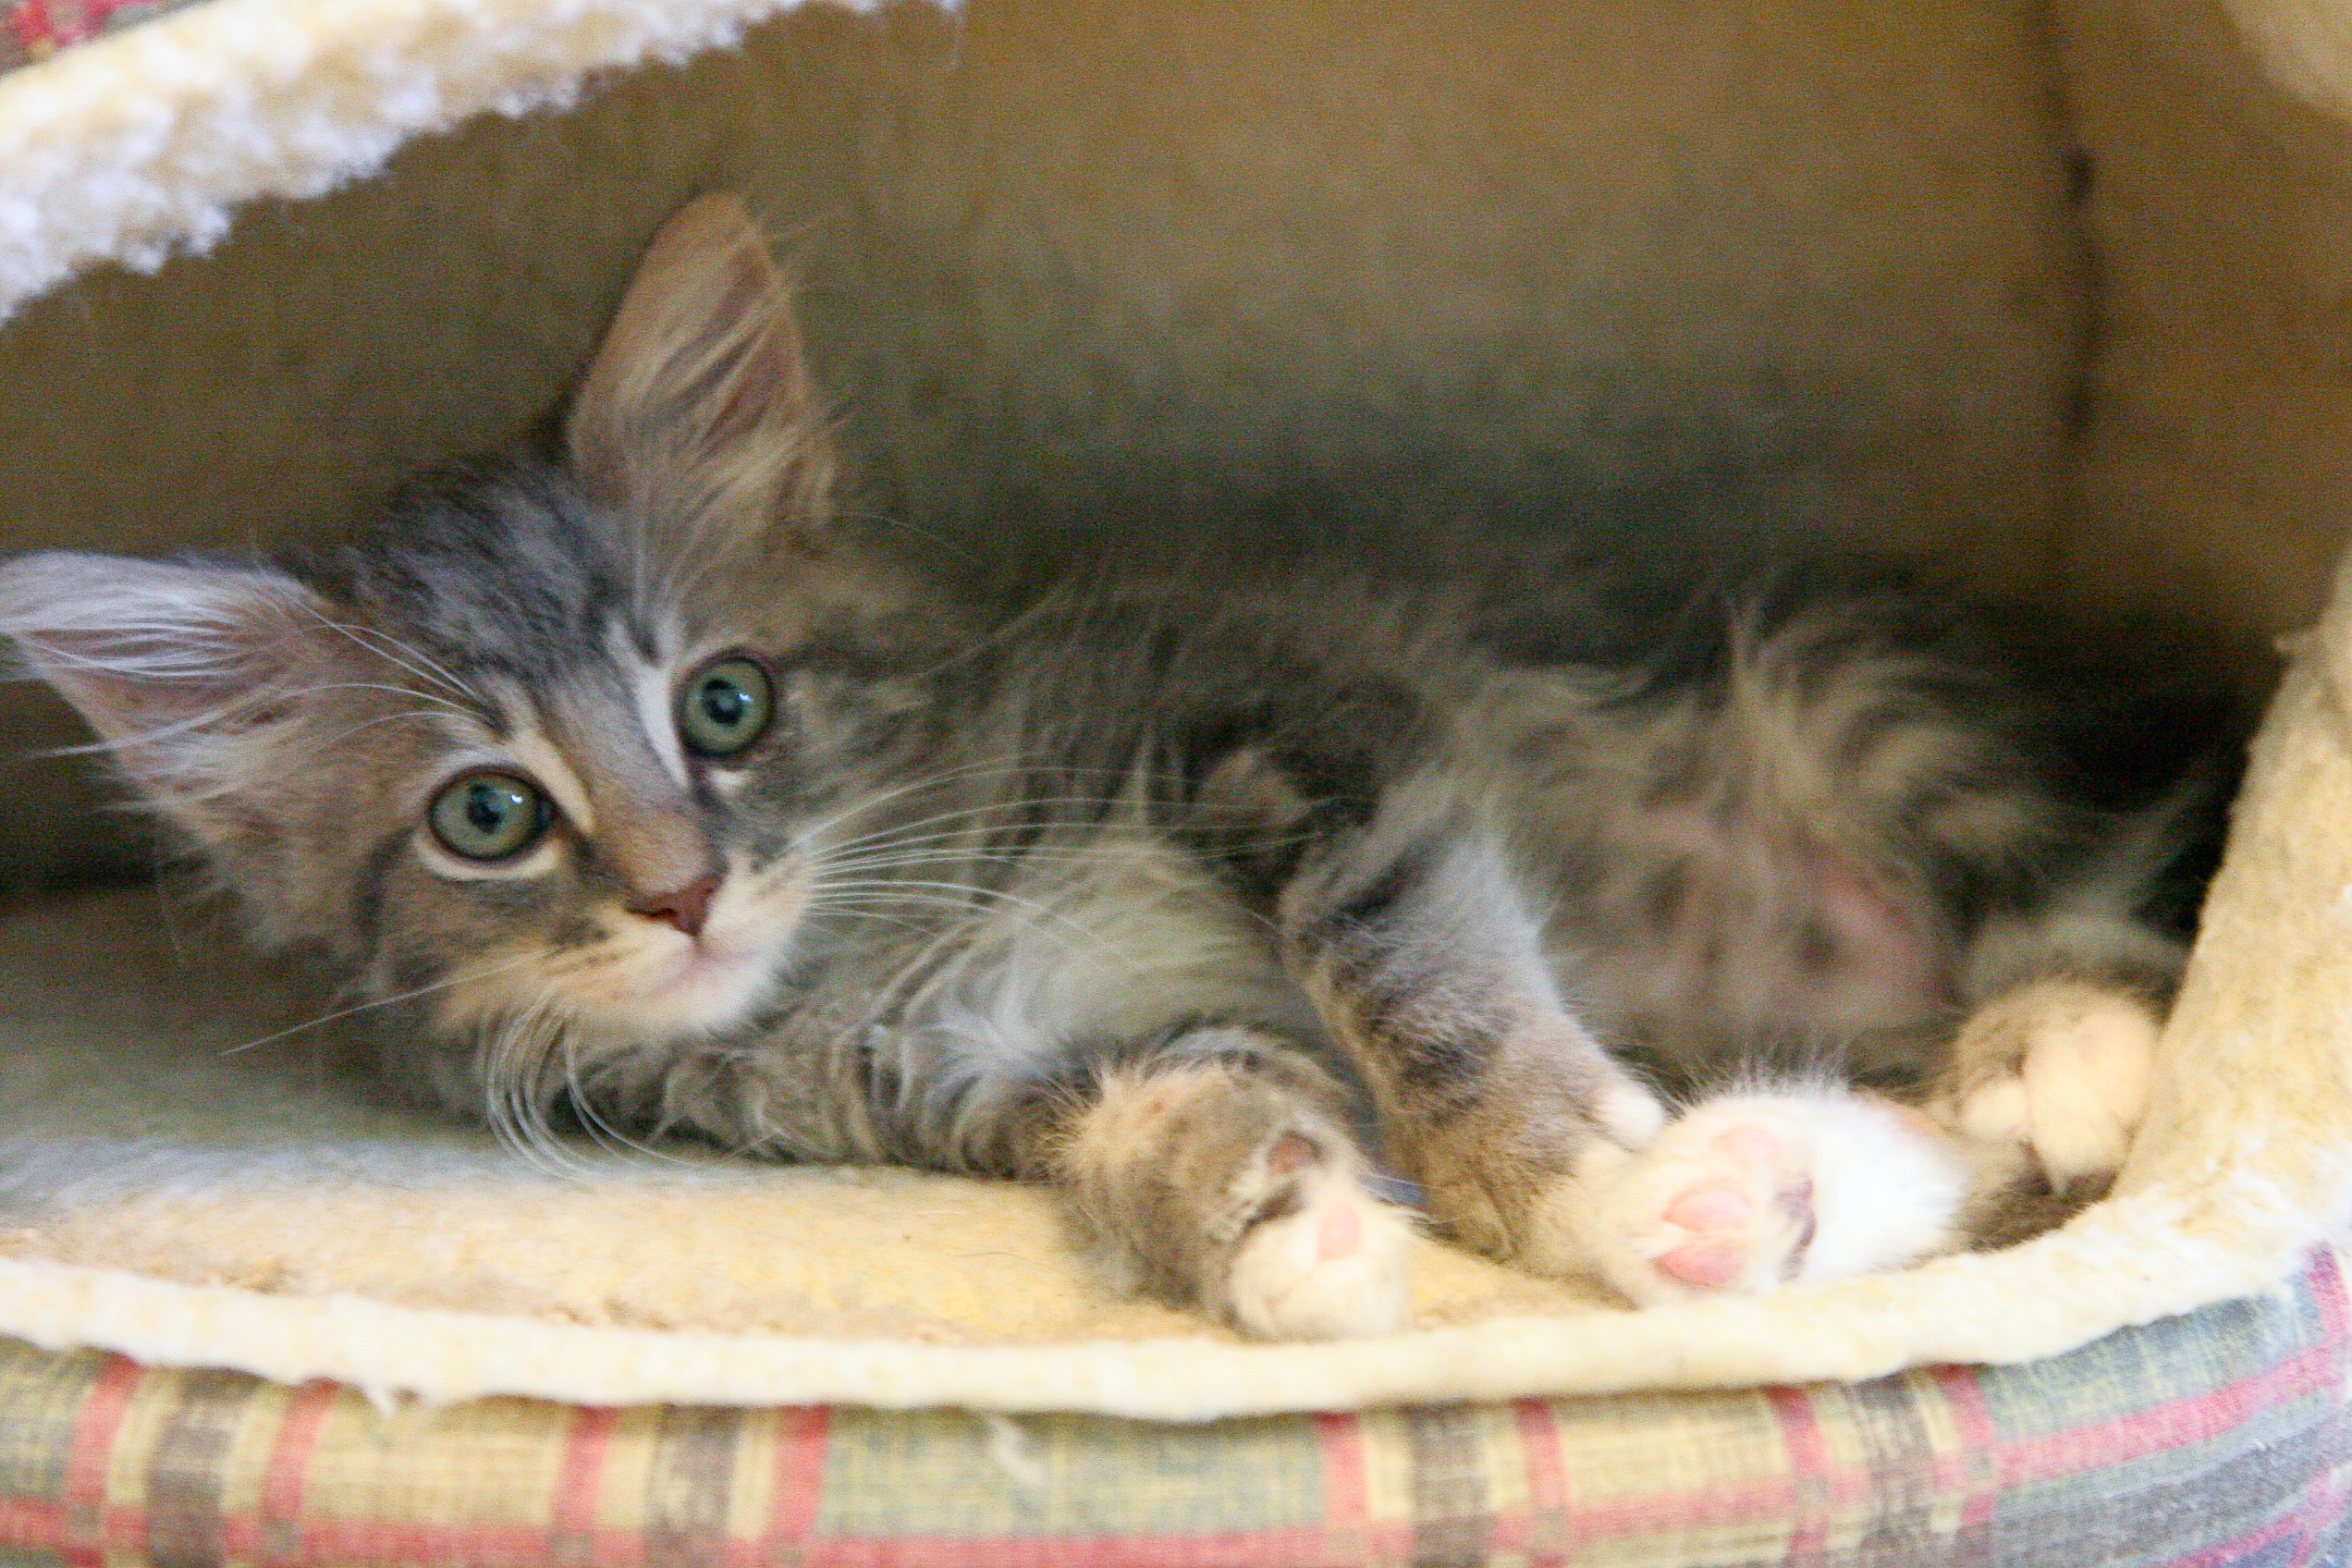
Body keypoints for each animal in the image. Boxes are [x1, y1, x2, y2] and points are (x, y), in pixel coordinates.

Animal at [0, 196, 2182, 1344]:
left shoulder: (1314, 728)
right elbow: (1169, 1111)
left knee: (2091, 901)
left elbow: (1419, 978)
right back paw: (1763, 1189)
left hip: (1856, 684)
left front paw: (1556, 1172)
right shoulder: (993, 1085)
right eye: (487, 815)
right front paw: (1279, 1223)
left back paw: (2053, 1042)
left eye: (725, 705)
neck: (863, 949)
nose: (683, 892)